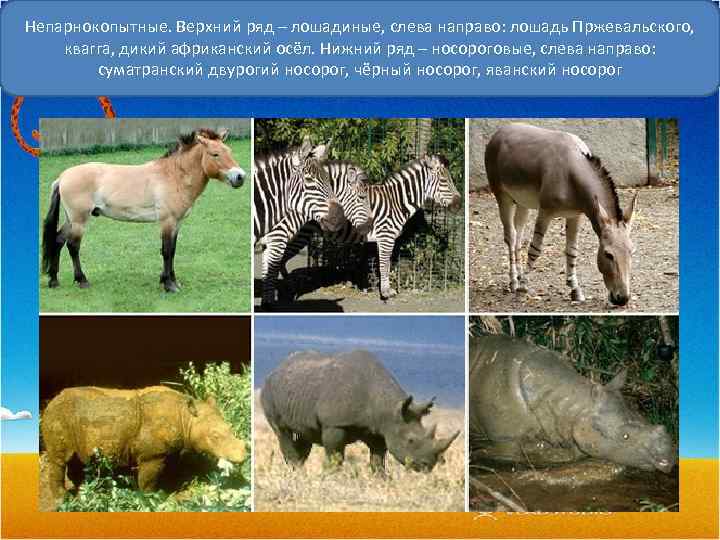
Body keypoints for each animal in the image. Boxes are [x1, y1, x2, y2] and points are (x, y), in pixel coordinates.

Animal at [42, 128, 246, 293]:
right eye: (215, 154)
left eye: (229, 151)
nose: (240, 177)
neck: (174, 175)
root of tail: (62, 177)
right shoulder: (167, 221)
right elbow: (166, 251)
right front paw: (169, 285)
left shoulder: (177, 223)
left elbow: (173, 250)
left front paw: (172, 281)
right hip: (79, 220)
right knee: (73, 246)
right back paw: (82, 281)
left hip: (70, 220)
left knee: (58, 241)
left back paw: (54, 281)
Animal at [484, 123, 638, 306]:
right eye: (608, 254)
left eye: (631, 252)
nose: (622, 299)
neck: (571, 171)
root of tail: (500, 131)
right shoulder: (545, 212)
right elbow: (535, 250)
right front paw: (523, 288)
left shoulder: (575, 215)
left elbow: (572, 251)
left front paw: (575, 290)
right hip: (503, 197)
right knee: (511, 237)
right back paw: (514, 282)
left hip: (522, 203)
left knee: (518, 237)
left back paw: (519, 276)